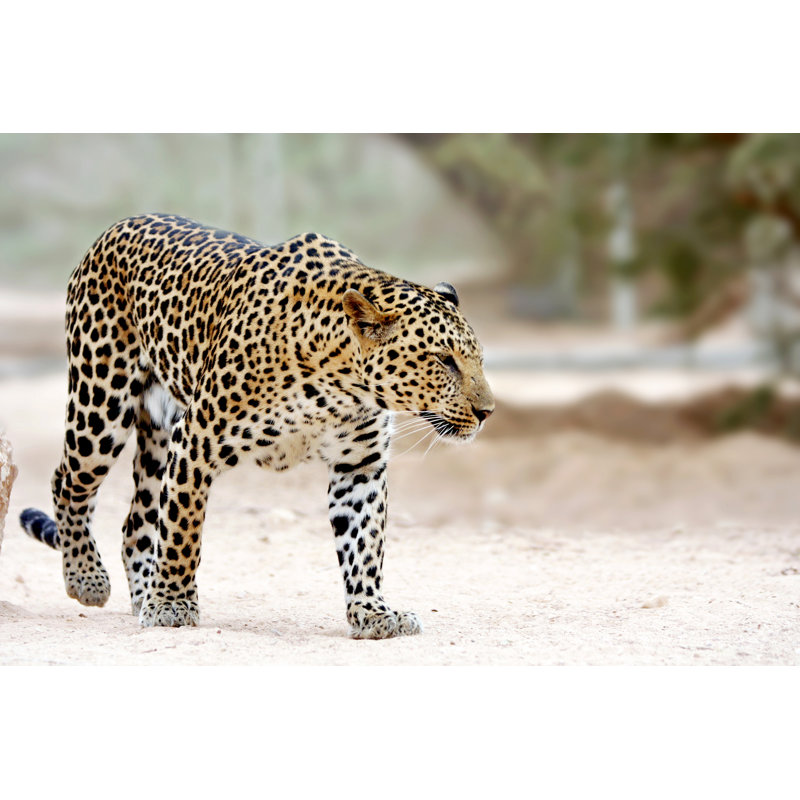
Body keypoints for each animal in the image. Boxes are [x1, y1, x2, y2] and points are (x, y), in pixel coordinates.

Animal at [19, 213, 494, 639]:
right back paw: (88, 579)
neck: (340, 384)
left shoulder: (360, 466)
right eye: (443, 360)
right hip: (100, 408)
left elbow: (364, 544)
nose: (488, 411)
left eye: (478, 358)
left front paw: (373, 612)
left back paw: (141, 595)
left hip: (157, 436)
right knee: (68, 483)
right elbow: (182, 532)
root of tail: (116, 226)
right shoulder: (196, 441)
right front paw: (172, 604)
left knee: (136, 523)